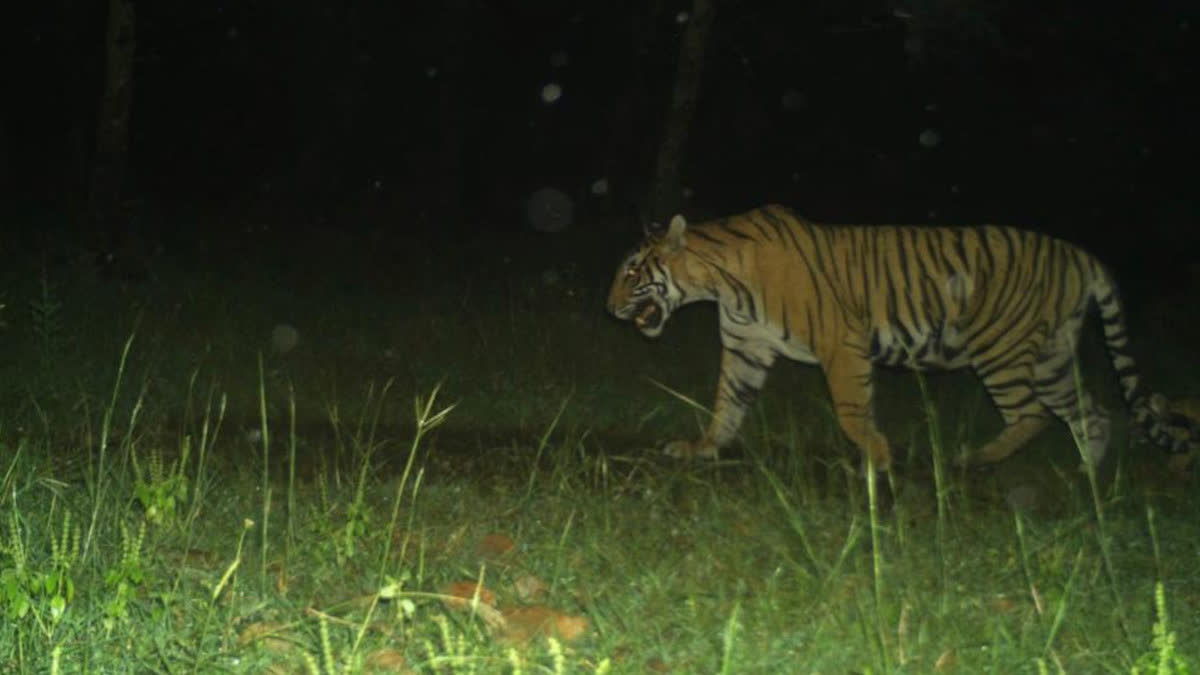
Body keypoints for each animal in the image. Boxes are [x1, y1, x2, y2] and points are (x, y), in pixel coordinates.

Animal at [609, 201, 1200, 470]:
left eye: (633, 273)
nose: (609, 307)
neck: (719, 283)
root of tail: (1081, 254)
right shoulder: (745, 348)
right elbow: (727, 404)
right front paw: (702, 448)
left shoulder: (840, 344)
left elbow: (852, 411)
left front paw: (877, 459)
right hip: (1051, 356)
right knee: (1091, 413)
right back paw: (1085, 479)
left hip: (1002, 350)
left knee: (1032, 413)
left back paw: (975, 459)